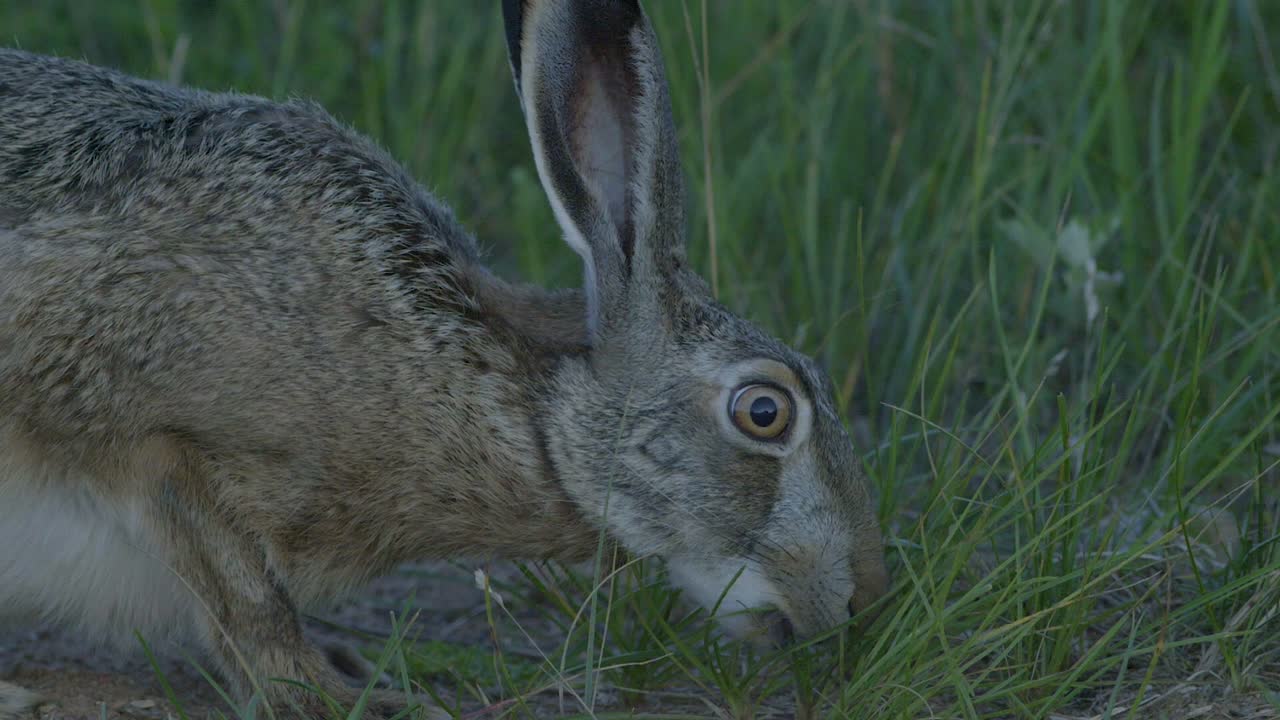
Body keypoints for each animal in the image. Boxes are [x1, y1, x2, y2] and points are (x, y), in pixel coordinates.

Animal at [0, 0, 890, 717]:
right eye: (764, 411)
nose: (864, 600)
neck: (532, 414)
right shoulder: (159, 446)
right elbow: (252, 605)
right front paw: (338, 695)